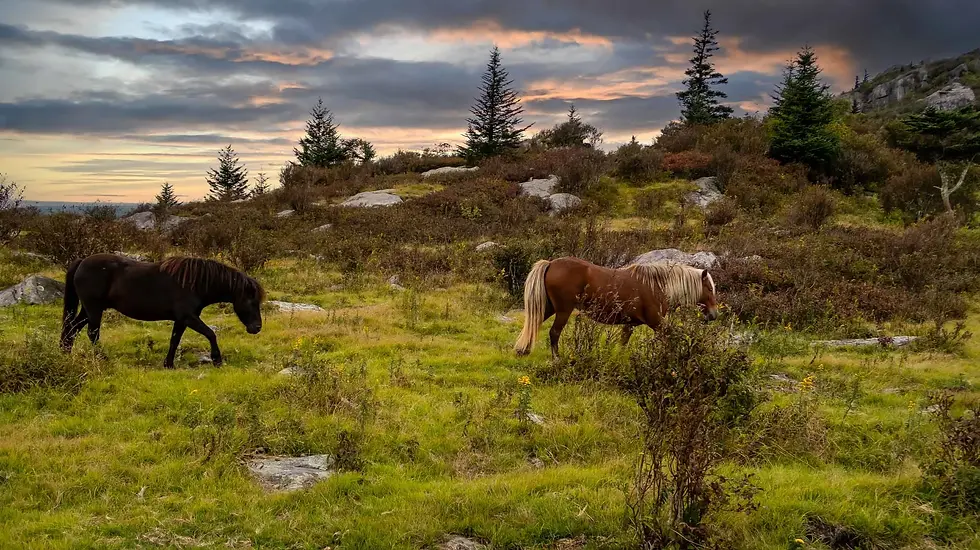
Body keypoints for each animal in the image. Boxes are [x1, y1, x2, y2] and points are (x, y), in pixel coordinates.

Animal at [59, 253, 266, 368]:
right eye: (251, 301)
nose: (257, 328)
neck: (195, 283)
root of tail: (82, 262)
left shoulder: (182, 320)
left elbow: (174, 340)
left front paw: (168, 364)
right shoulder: (188, 317)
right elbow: (210, 334)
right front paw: (217, 360)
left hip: (89, 309)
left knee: (72, 328)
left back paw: (65, 352)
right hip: (93, 308)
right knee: (92, 333)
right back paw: (102, 358)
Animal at [513, 256, 719, 359]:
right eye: (709, 288)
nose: (714, 315)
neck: (657, 286)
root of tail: (550, 263)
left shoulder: (630, 324)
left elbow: (622, 344)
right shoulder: (657, 323)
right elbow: (669, 340)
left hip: (549, 308)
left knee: (533, 324)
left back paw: (523, 349)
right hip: (563, 310)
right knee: (554, 332)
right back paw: (556, 358)